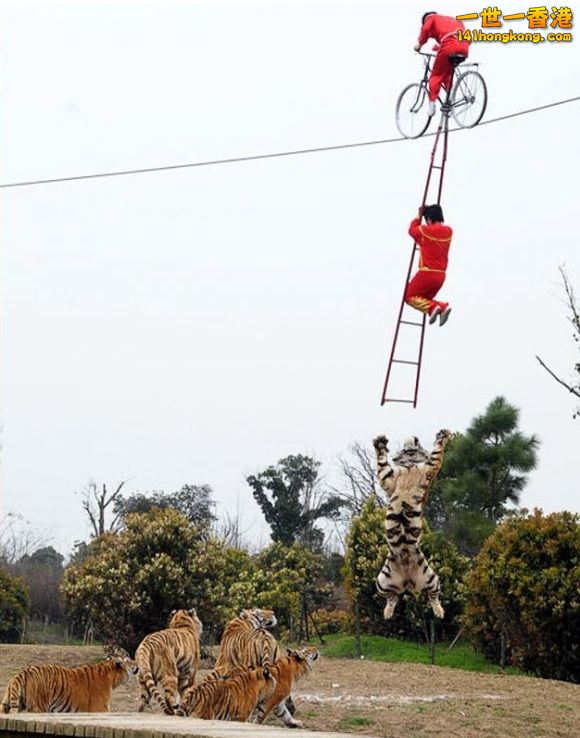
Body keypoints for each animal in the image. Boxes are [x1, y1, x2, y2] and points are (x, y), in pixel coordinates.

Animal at [0, 648, 138, 712]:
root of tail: (22, 673)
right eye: (129, 659)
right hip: (38, 707)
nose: (137, 664)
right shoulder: (100, 708)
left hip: (7, 703)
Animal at [372, 428, 454, 620]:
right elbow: (382, 464)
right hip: (382, 581)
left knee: (433, 596)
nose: (414, 438)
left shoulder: (430, 468)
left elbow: (436, 454)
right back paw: (387, 613)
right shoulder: (389, 479)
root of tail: (408, 583)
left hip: (432, 578)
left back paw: (440, 613)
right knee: (392, 597)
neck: (408, 466)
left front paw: (443, 435)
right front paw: (379, 443)